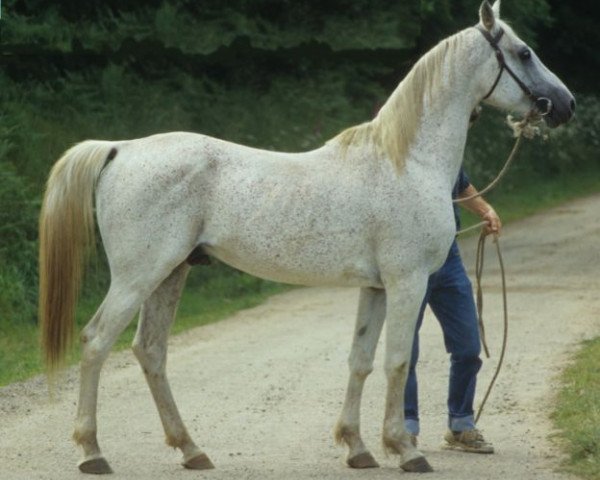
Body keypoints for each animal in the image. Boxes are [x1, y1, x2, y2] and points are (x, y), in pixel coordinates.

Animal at [39, 1, 576, 474]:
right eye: (524, 52)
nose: (566, 105)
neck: (407, 160)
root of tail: (120, 148)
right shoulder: (407, 283)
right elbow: (398, 362)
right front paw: (406, 451)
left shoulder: (376, 287)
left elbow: (360, 360)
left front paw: (357, 448)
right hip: (138, 277)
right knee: (96, 342)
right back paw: (93, 453)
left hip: (170, 275)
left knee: (150, 352)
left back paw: (192, 451)